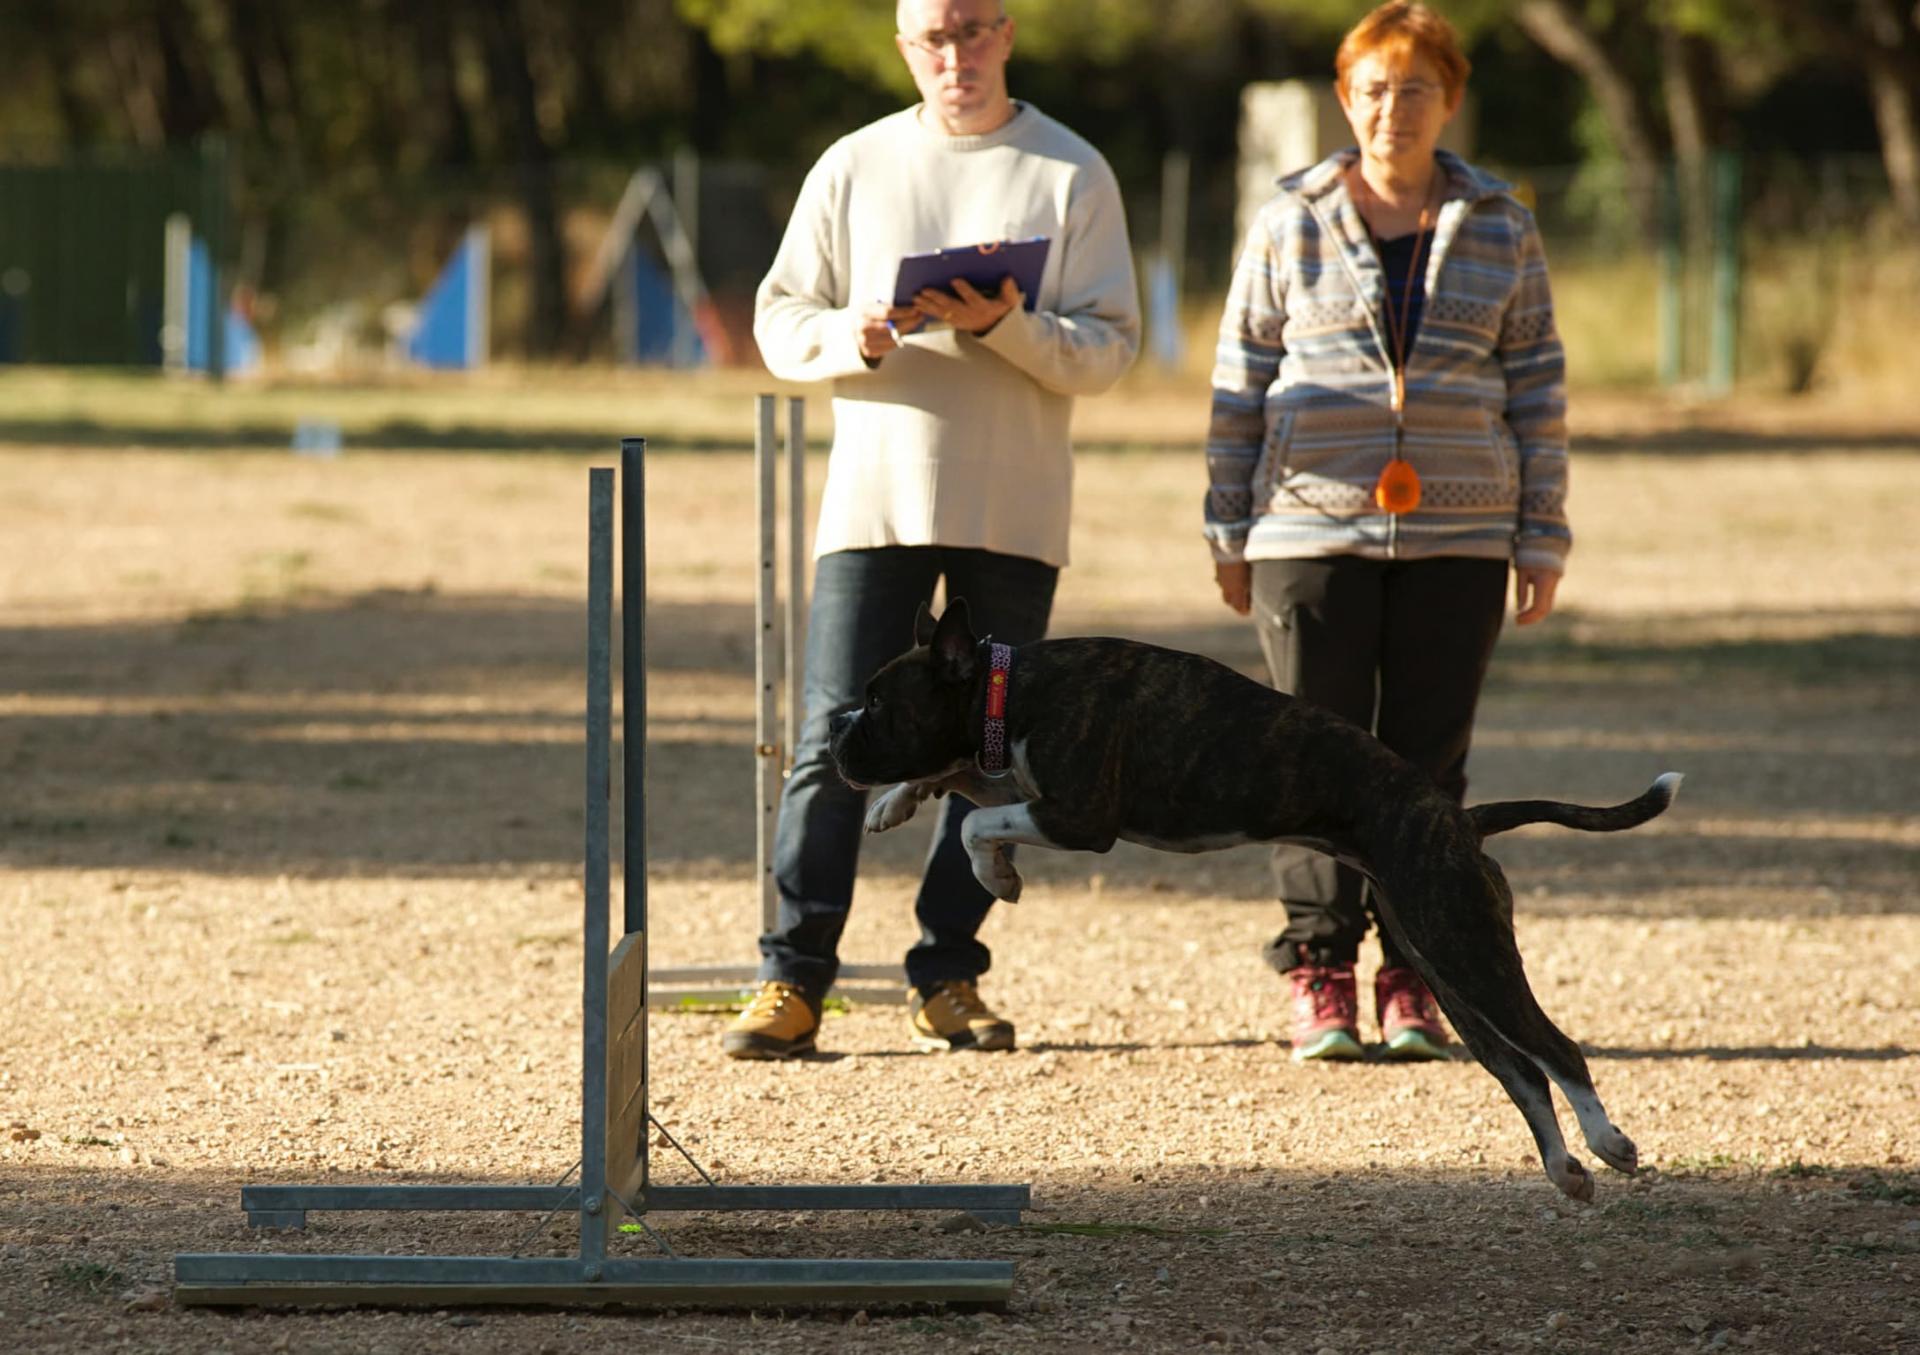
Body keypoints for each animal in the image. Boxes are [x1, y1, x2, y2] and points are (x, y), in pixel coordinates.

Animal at [825, 594, 1681, 1197]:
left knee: (1558, 1049)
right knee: (1521, 1071)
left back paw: (1610, 1144)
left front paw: (994, 874)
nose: (835, 731)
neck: (1012, 687)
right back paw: (1566, 1171)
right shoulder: (1021, 782)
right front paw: (894, 803)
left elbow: (977, 820)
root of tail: (1458, 817)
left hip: (1470, 951)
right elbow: (960, 779)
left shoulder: (1078, 816)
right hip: (1445, 965)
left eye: (880, 703)